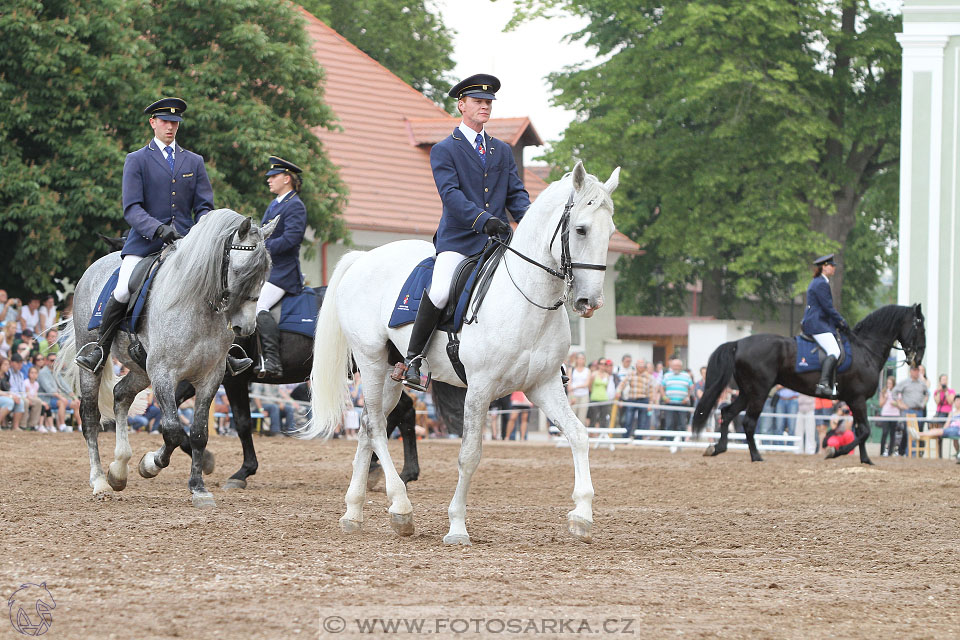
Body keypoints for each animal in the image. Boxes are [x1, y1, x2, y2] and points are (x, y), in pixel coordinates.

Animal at [304, 162, 628, 544]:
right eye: (580, 229)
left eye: (611, 231)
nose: (590, 302)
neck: (526, 298)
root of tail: (363, 259)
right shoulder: (480, 389)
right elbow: (469, 455)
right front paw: (457, 526)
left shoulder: (544, 385)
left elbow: (578, 435)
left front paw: (582, 515)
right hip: (370, 361)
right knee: (378, 426)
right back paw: (401, 508)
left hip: (391, 369)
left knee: (369, 423)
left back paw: (354, 512)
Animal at [692, 304, 928, 464]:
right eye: (920, 326)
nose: (918, 359)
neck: (865, 348)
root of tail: (738, 343)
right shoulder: (858, 399)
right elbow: (865, 431)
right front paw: (834, 452)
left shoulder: (854, 401)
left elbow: (861, 431)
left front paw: (865, 460)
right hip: (759, 391)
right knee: (748, 422)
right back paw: (756, 456)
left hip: (746, 392)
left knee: (727, 413)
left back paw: (717, 448)